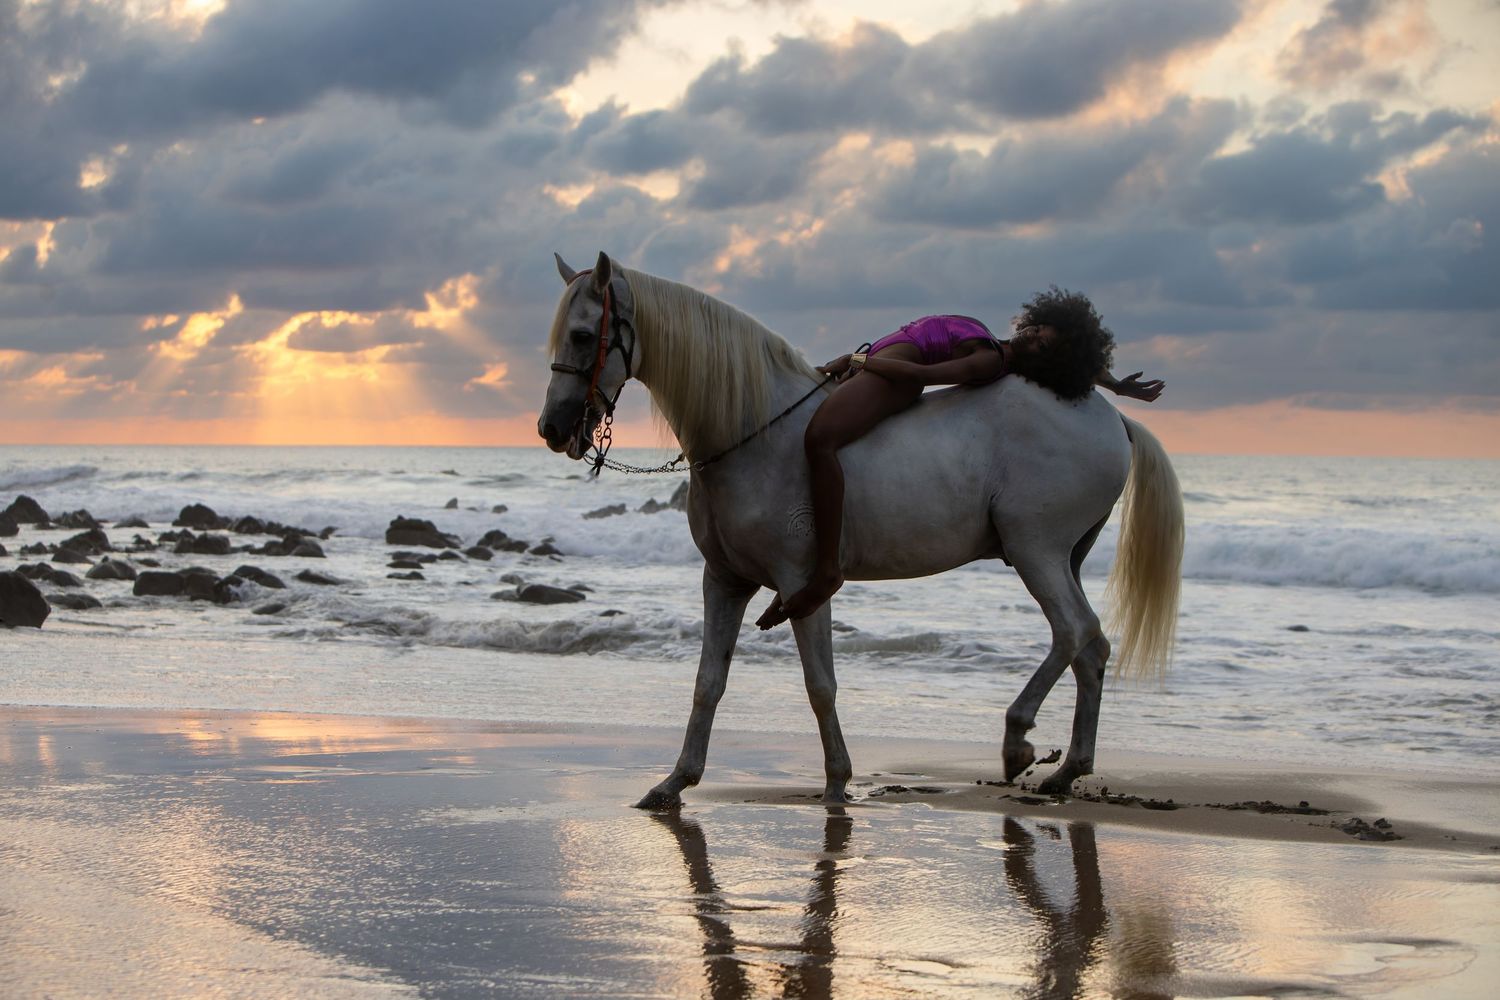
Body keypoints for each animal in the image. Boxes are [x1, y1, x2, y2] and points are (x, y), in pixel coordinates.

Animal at [538, 251, 1184, 806]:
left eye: (582, 335)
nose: (552, 427)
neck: (753, 429)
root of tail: (1112, 419)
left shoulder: (798, 583)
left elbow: (819, 685)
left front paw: (836, 784)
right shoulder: (723, 580)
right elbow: (708, 682)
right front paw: (676, 782)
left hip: (1036, 549)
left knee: (1073, 631)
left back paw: (1017, 737)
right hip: (1064, 556)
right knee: (1091, 648)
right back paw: (1069, 769)